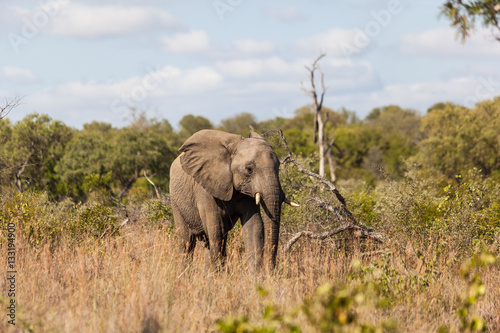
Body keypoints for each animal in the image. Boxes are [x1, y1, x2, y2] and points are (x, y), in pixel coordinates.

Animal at [170, 128, 298, 268]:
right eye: (249, 169)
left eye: (278, 167)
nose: (271, 269)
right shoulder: (205, 188)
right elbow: (217, 228)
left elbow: (254, 226)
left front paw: (256, 273)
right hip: (176, 202)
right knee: (187, 242)